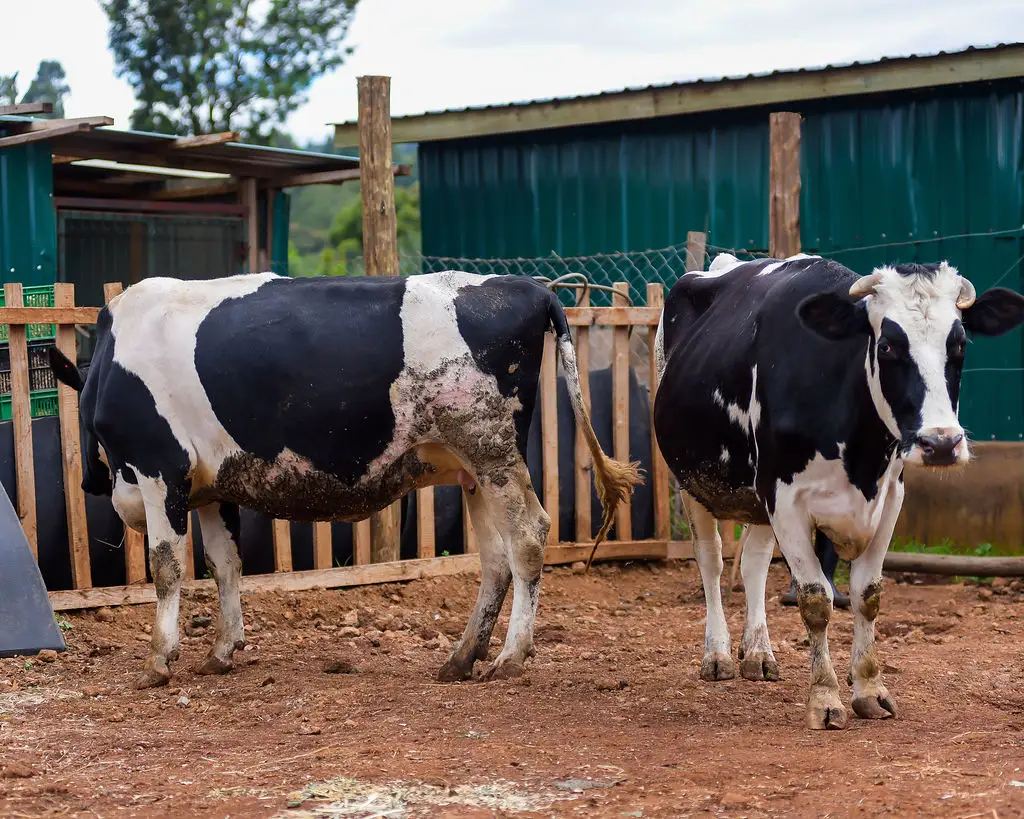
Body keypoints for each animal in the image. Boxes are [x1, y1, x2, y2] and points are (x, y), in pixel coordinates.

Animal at [48, 271, 642, 690]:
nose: (91, 485)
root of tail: (527, 287)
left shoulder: (158, 470)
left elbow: (166, 567)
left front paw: (159, 658)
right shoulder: (212, 486)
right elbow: (225, 564)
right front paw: (222, 650)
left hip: (492, 450)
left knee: (528, 538)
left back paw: (511, 656)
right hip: (474, 468)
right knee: (495, 559)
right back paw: (461, 657)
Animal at [653, 252, 1024, 730]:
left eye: (959, 344)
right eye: (887, 346)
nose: (941, 443)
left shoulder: (888, 499)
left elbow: (868, 595)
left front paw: (870, 689)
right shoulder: (784, 498)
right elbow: (815, 598)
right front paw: (825, 698)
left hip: (756, 500)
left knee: (753, 563)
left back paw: (758, 652)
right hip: (691, 482)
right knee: (712, 562)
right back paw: (717, 655)